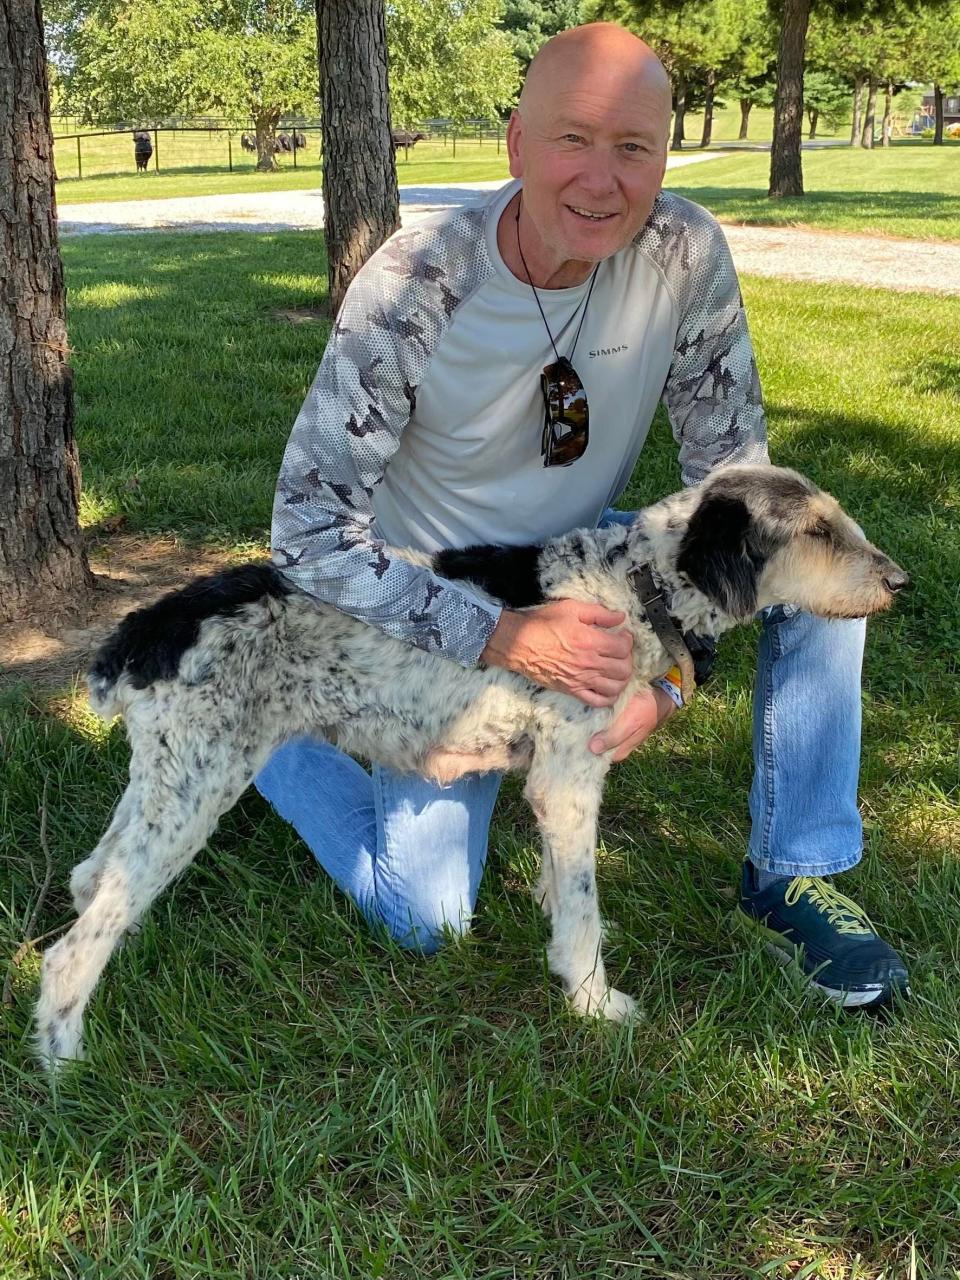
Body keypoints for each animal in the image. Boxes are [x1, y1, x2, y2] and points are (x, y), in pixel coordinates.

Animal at [35, 465, 911, 1064]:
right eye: (817, 532)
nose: (900, 581)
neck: (636, 584)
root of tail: (150, 625)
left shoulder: (557, 783)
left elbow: (564, 892)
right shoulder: (568, 781)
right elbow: (581, 908)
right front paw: (592, 1001)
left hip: (166, 782)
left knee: (91, 880)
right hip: (197, 788)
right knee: (72, 945)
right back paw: (64, 1058)